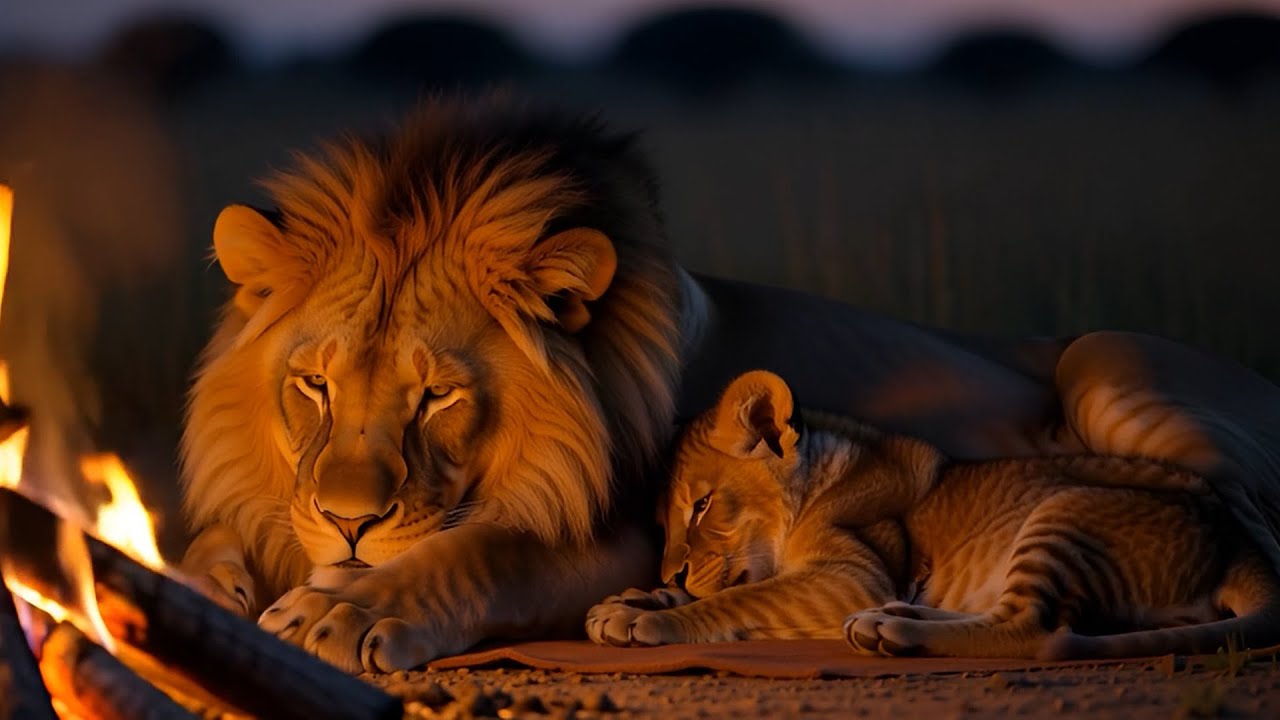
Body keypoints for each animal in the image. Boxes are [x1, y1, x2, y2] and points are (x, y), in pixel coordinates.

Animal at [180, 96, 1280, 673]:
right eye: (312, 385)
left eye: (437, 395)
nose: (347, 522)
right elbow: (213, 542)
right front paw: (212, 590)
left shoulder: (620, 527)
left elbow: (488, 552)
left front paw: (344, 614)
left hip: (1110, 367)